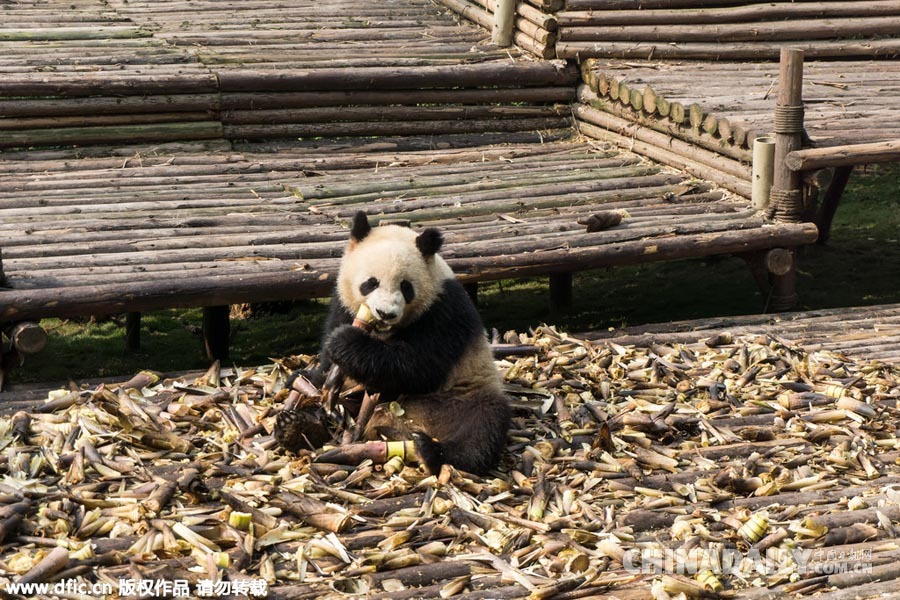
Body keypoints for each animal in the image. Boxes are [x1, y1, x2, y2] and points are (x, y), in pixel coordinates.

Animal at [312, 211, 510, 474]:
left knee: (482, 426)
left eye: (406, 287)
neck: (384, 332)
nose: (385, 313)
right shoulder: (344, 302)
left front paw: (346, 342)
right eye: (371, 282)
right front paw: (329, 377)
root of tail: (412, 425)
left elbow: (418, 365)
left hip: (465, 394)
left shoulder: (444, 310)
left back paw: (431, 451)